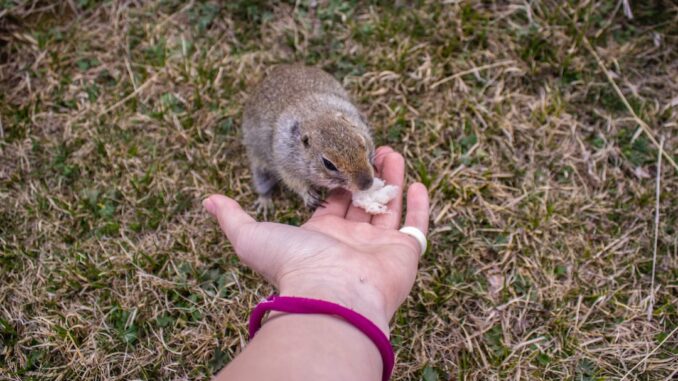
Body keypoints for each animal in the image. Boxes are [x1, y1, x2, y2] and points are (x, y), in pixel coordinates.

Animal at [243, 64, 378, 212]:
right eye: (329, 164)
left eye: (363, 144)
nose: (367, 183)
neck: (316, 117)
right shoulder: (285, 163)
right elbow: (294, 182)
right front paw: (309, 196)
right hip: (259, 165)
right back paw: (264, 202)